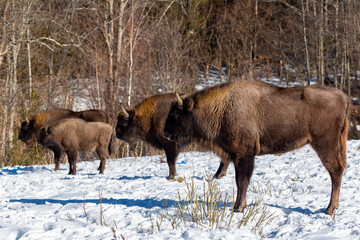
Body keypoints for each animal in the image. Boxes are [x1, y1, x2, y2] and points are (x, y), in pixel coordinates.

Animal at [165, 81, 350, 216]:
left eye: (174, 114)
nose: (165, 132)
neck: (222, 107)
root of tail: (342, 96)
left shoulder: (245, 154)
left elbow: (242, 181)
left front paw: (239, 207)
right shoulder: (237, 156)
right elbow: (239, 180)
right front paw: (238, 206)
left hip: (325, 144)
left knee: (336, 171)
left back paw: (329, 209)